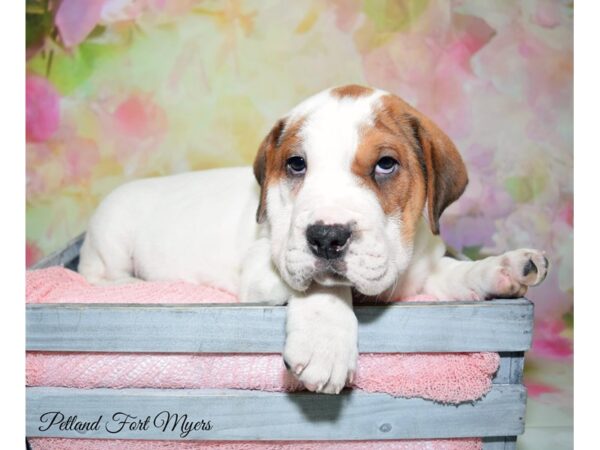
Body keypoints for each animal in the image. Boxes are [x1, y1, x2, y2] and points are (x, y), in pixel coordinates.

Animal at [79, 84, 548, 394]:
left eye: (386, 164)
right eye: (296, 164)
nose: (325, 238)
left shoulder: (424, 268)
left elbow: (455, 273)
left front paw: (504, 267)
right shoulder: (265, 268)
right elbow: (325, 287)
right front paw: (326, 343)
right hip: (110, 239)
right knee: (99, 277)